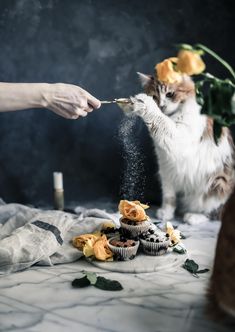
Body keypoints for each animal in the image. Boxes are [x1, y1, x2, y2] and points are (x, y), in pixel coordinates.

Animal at [120, 72, 234, 223]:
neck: (172, 116)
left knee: (214, 211)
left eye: (170, 94)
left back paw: (193, 217)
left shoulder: (180, 138)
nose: (161, 105)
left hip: (217, 184)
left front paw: (143, 103)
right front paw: (166, 213)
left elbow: (160, 119)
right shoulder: (166, 166)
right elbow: (169, 196)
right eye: (155, 96)